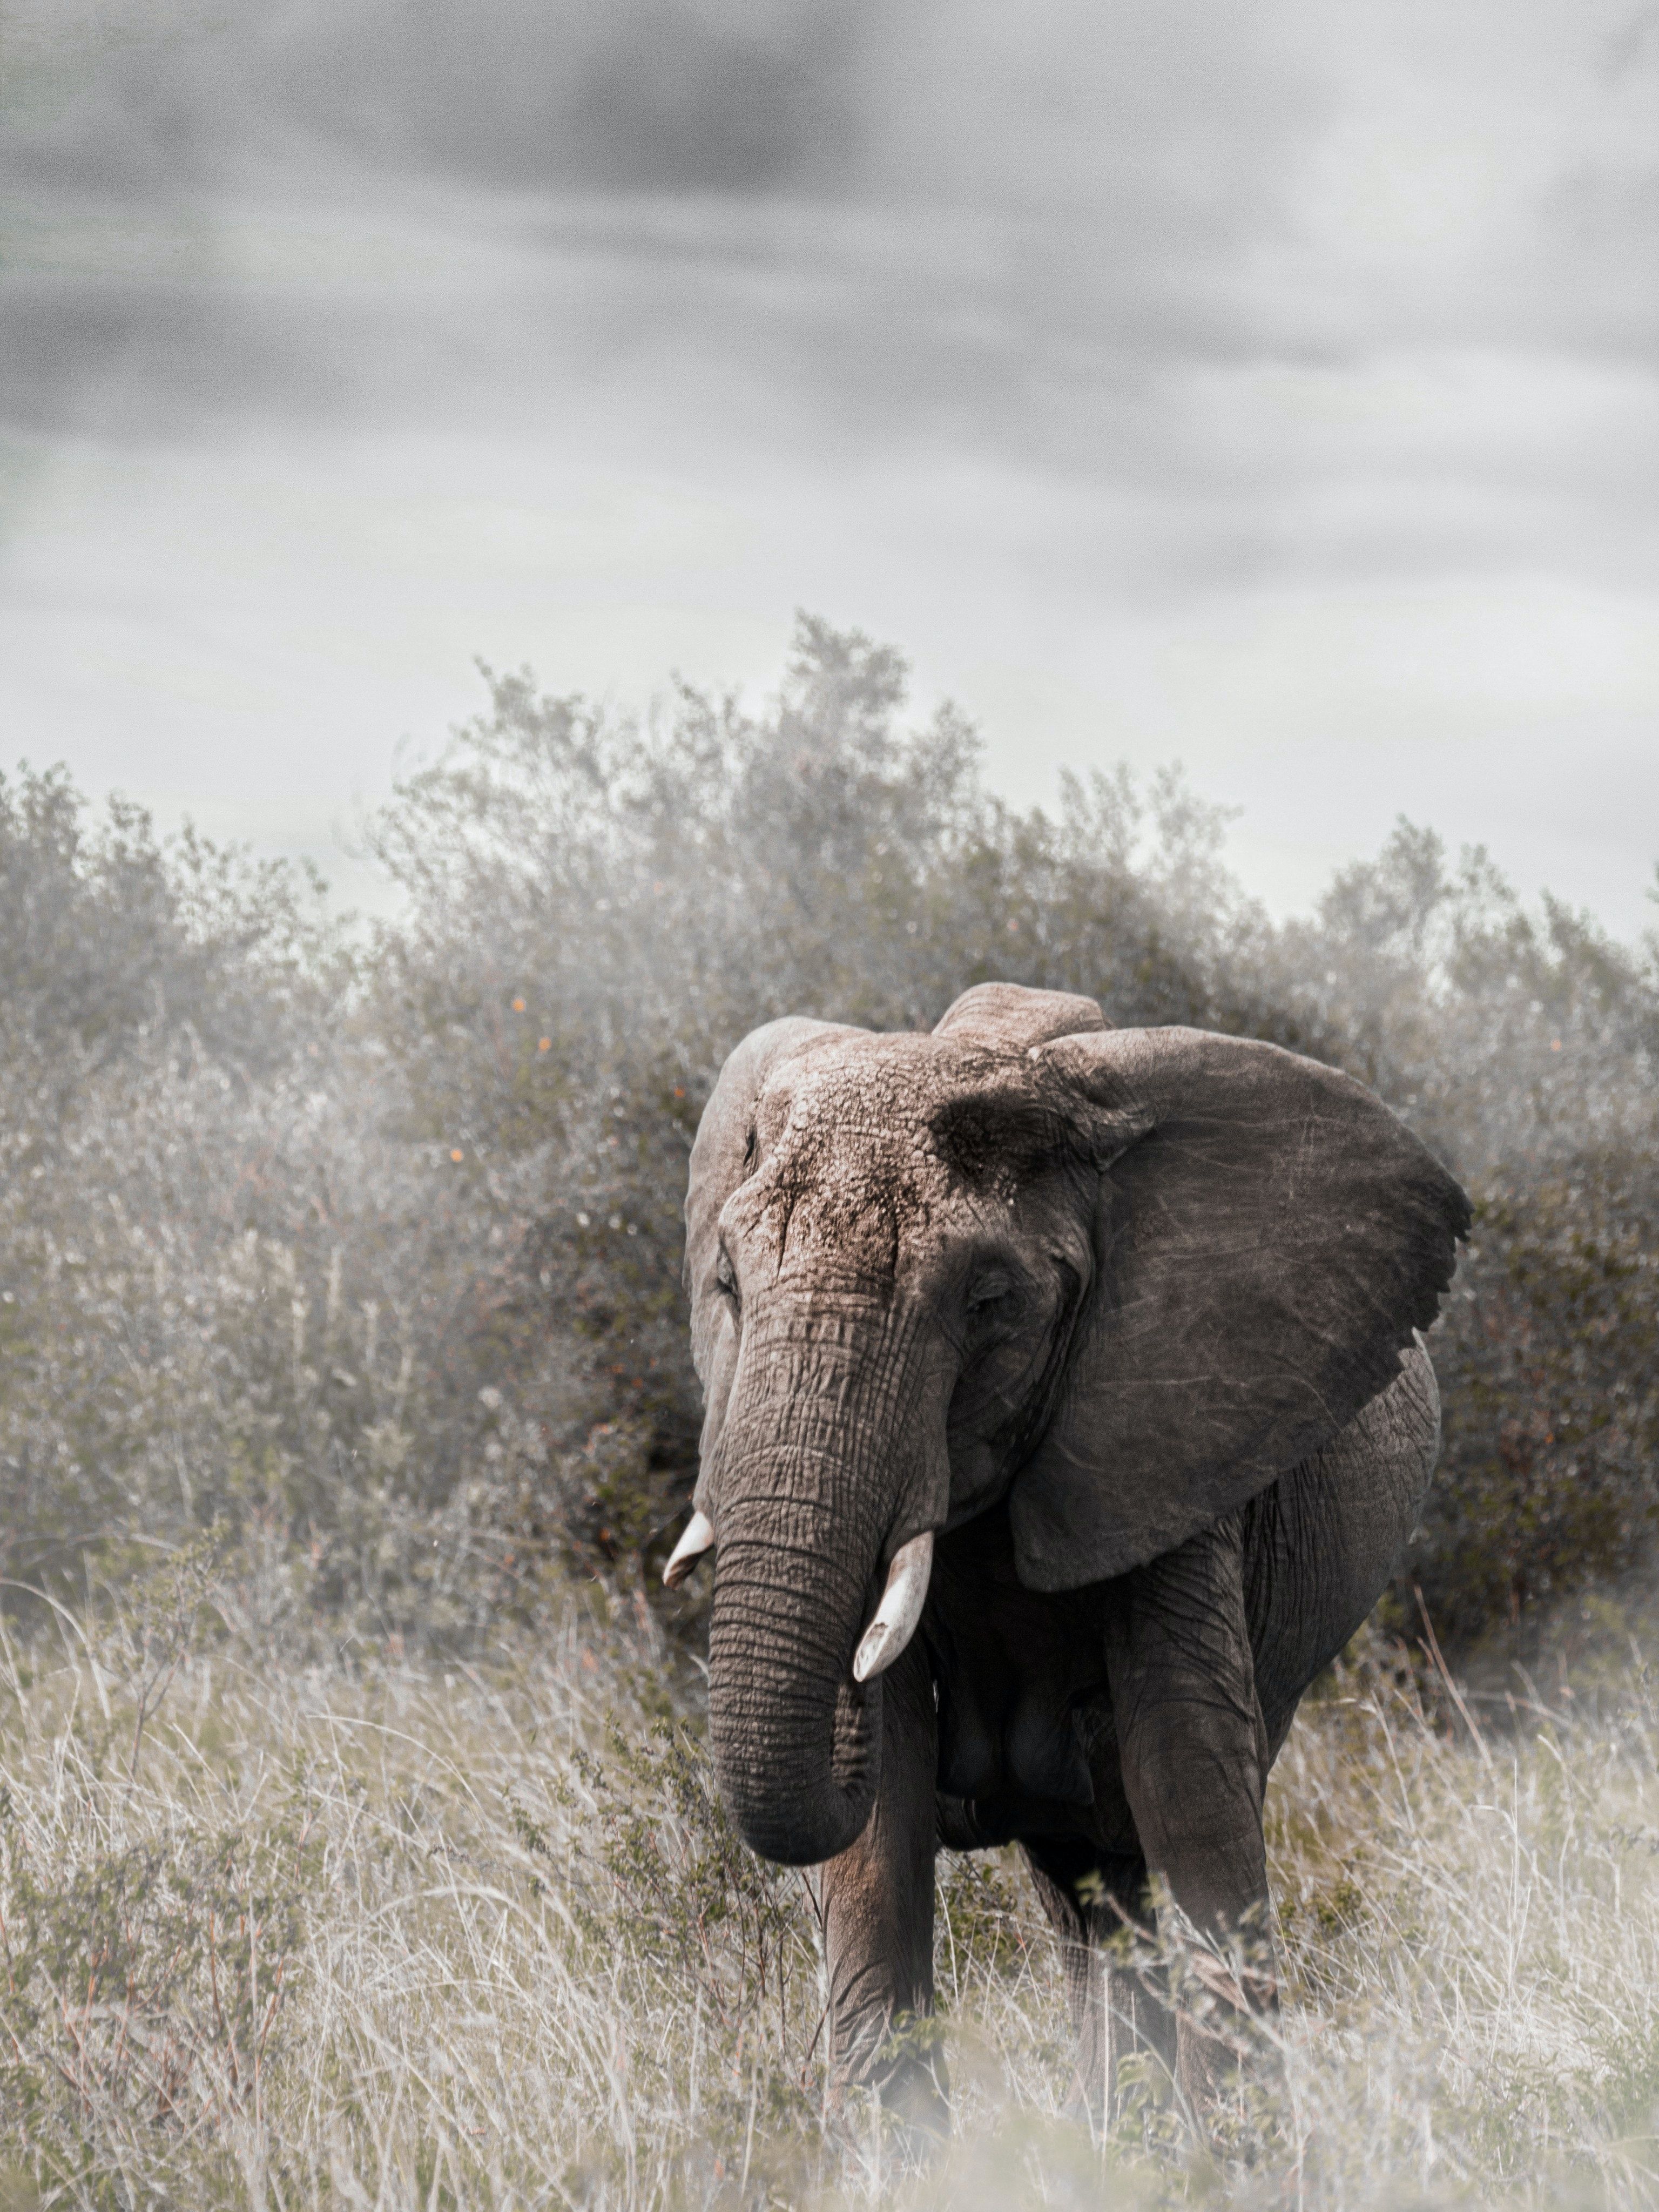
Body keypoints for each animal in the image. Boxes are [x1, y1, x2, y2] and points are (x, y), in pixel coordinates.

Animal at [663, 986, 1468, 2123]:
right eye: (728, 1283)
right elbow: (878, 1851)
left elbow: (1186, 1778)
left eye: (988, 1303)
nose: (852, 1677)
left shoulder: (1172, 1438)